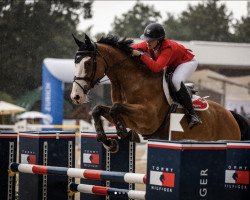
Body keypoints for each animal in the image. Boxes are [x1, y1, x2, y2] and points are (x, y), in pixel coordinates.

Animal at [71, 34, 250, 153]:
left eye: (88, 63)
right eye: (75, 62)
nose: (76, 97)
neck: (133, 81)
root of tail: (231, 115)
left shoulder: (148, 118)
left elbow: (116, 108)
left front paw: (122, 133)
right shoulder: (131, 118)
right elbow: (98, 110)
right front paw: (109, 142)